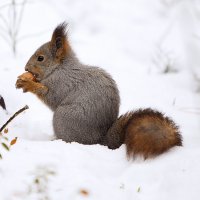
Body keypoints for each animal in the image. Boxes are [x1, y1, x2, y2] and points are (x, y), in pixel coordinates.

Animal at [16, 22, 182, 159]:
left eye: (40, 58)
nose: (26, 68)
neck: (60, 68)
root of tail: (99, 140)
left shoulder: (63, 83)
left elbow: (51, 97)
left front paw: (28, 84)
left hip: (62, 117)